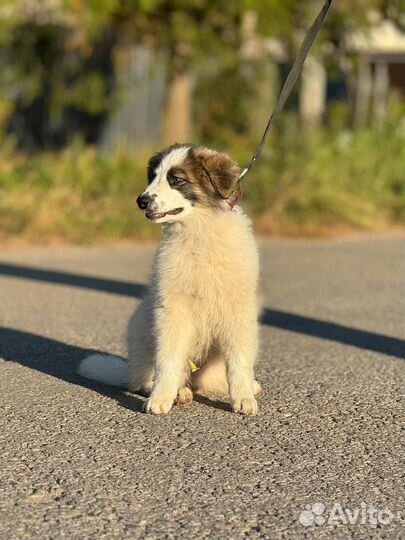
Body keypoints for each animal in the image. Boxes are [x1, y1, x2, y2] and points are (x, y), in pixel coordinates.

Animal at [78, 142, 260, 414]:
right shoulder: (173, 310)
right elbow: (168, 360)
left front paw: (243, 397)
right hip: (142, 328)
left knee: (209, 379)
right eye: (153, 177)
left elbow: (238, 360)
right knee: (143, 378)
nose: (141, 201)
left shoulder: (238, 311)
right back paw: (176, 392)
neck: (198, 232)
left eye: (176, 180)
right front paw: (161, 397)